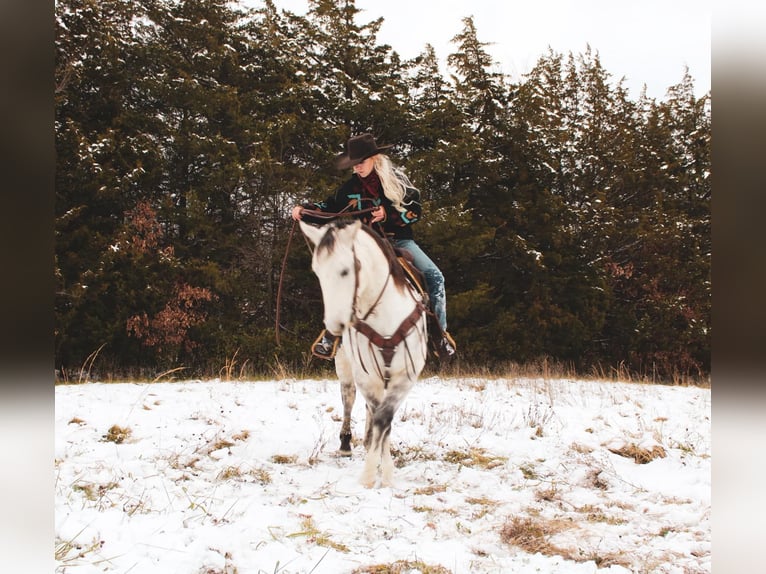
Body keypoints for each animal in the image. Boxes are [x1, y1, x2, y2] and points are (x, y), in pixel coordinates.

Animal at [300, 218, 432, 488]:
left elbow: (385, 418)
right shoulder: (366, 375)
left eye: (345, 271)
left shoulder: (406, 376)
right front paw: (370, 475)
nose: (335, 325)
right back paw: (346, 443)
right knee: (349, 399)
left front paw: (384, 475)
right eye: (317, 271)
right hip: (345, 366)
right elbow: (379, 416)